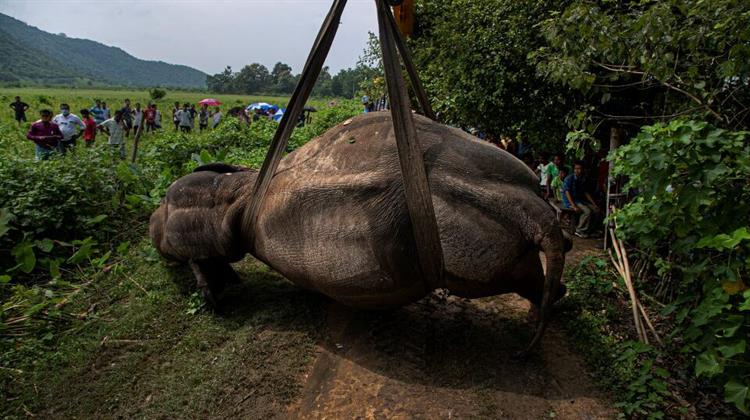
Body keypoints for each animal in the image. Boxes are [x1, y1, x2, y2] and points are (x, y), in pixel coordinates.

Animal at [148, 110, 568, 352]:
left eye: (166, 201)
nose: (152, 221)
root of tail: (538, 213)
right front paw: (221, 290)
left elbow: (206, 252)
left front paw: (214, 296)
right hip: (497, 215)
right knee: (531, 274)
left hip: (470, 243)